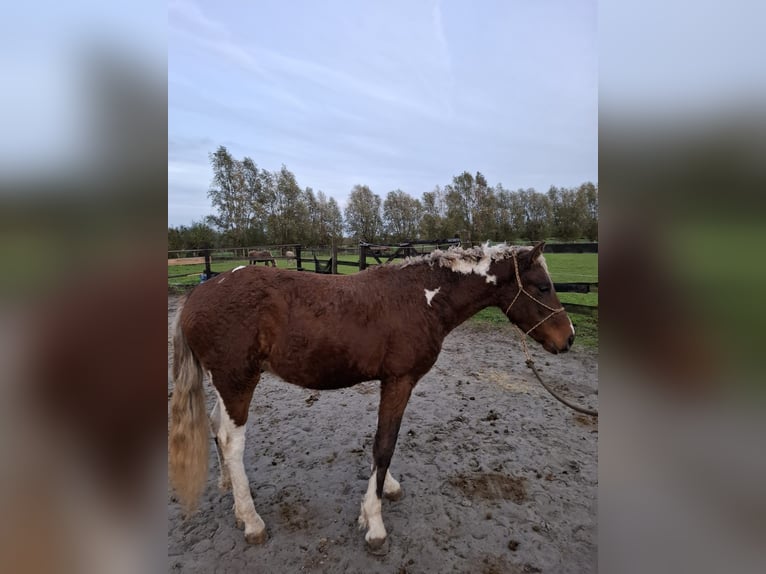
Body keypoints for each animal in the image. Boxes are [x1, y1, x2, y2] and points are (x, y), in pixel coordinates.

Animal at [169, 242, 575, 550]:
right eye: (542, 287)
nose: (568, 338)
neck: (423, 299)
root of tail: (195, 296)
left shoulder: (390, 383)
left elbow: (383, 442)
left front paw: (387, 488)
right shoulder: (399, 381)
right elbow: (384, 444)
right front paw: (374, 523)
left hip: (227, 385)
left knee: (217, 427)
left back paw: (231, 494)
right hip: (238, 382)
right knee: (231, 441)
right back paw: (252, 521)